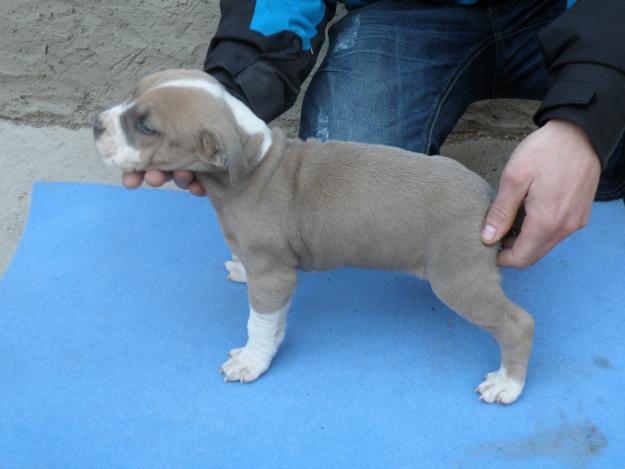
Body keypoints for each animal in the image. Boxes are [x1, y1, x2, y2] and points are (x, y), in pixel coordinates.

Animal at [92, 68, 532, 402]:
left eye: (146, 127)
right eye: (132, 93)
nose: (96, 123)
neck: (254, 161)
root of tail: (487, 197)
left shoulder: (274, 277)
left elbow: (258, 324)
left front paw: (251, 361)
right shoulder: (275, 277)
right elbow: (274, 319)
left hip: (457, 279)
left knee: (518, 324)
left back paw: (507, 384)